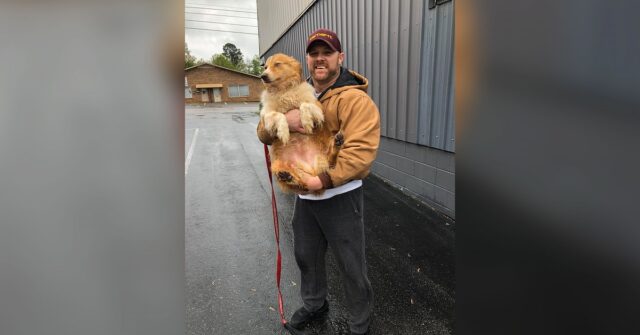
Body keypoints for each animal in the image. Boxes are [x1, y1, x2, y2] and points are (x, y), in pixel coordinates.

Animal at [260, 53, 342, 196]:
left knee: (331, 163)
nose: (262, 76)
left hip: (323, 153)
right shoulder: (266, 115)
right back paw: (288, 176)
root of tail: (310, 168)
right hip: (276, 164)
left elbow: (304, 105)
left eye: (277, 64)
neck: (284, 91)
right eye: (265, 67)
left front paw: (307, 123)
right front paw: (284, 132)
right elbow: (280, 115)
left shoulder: (316, 107)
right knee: (300, 182)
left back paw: (337, 144)